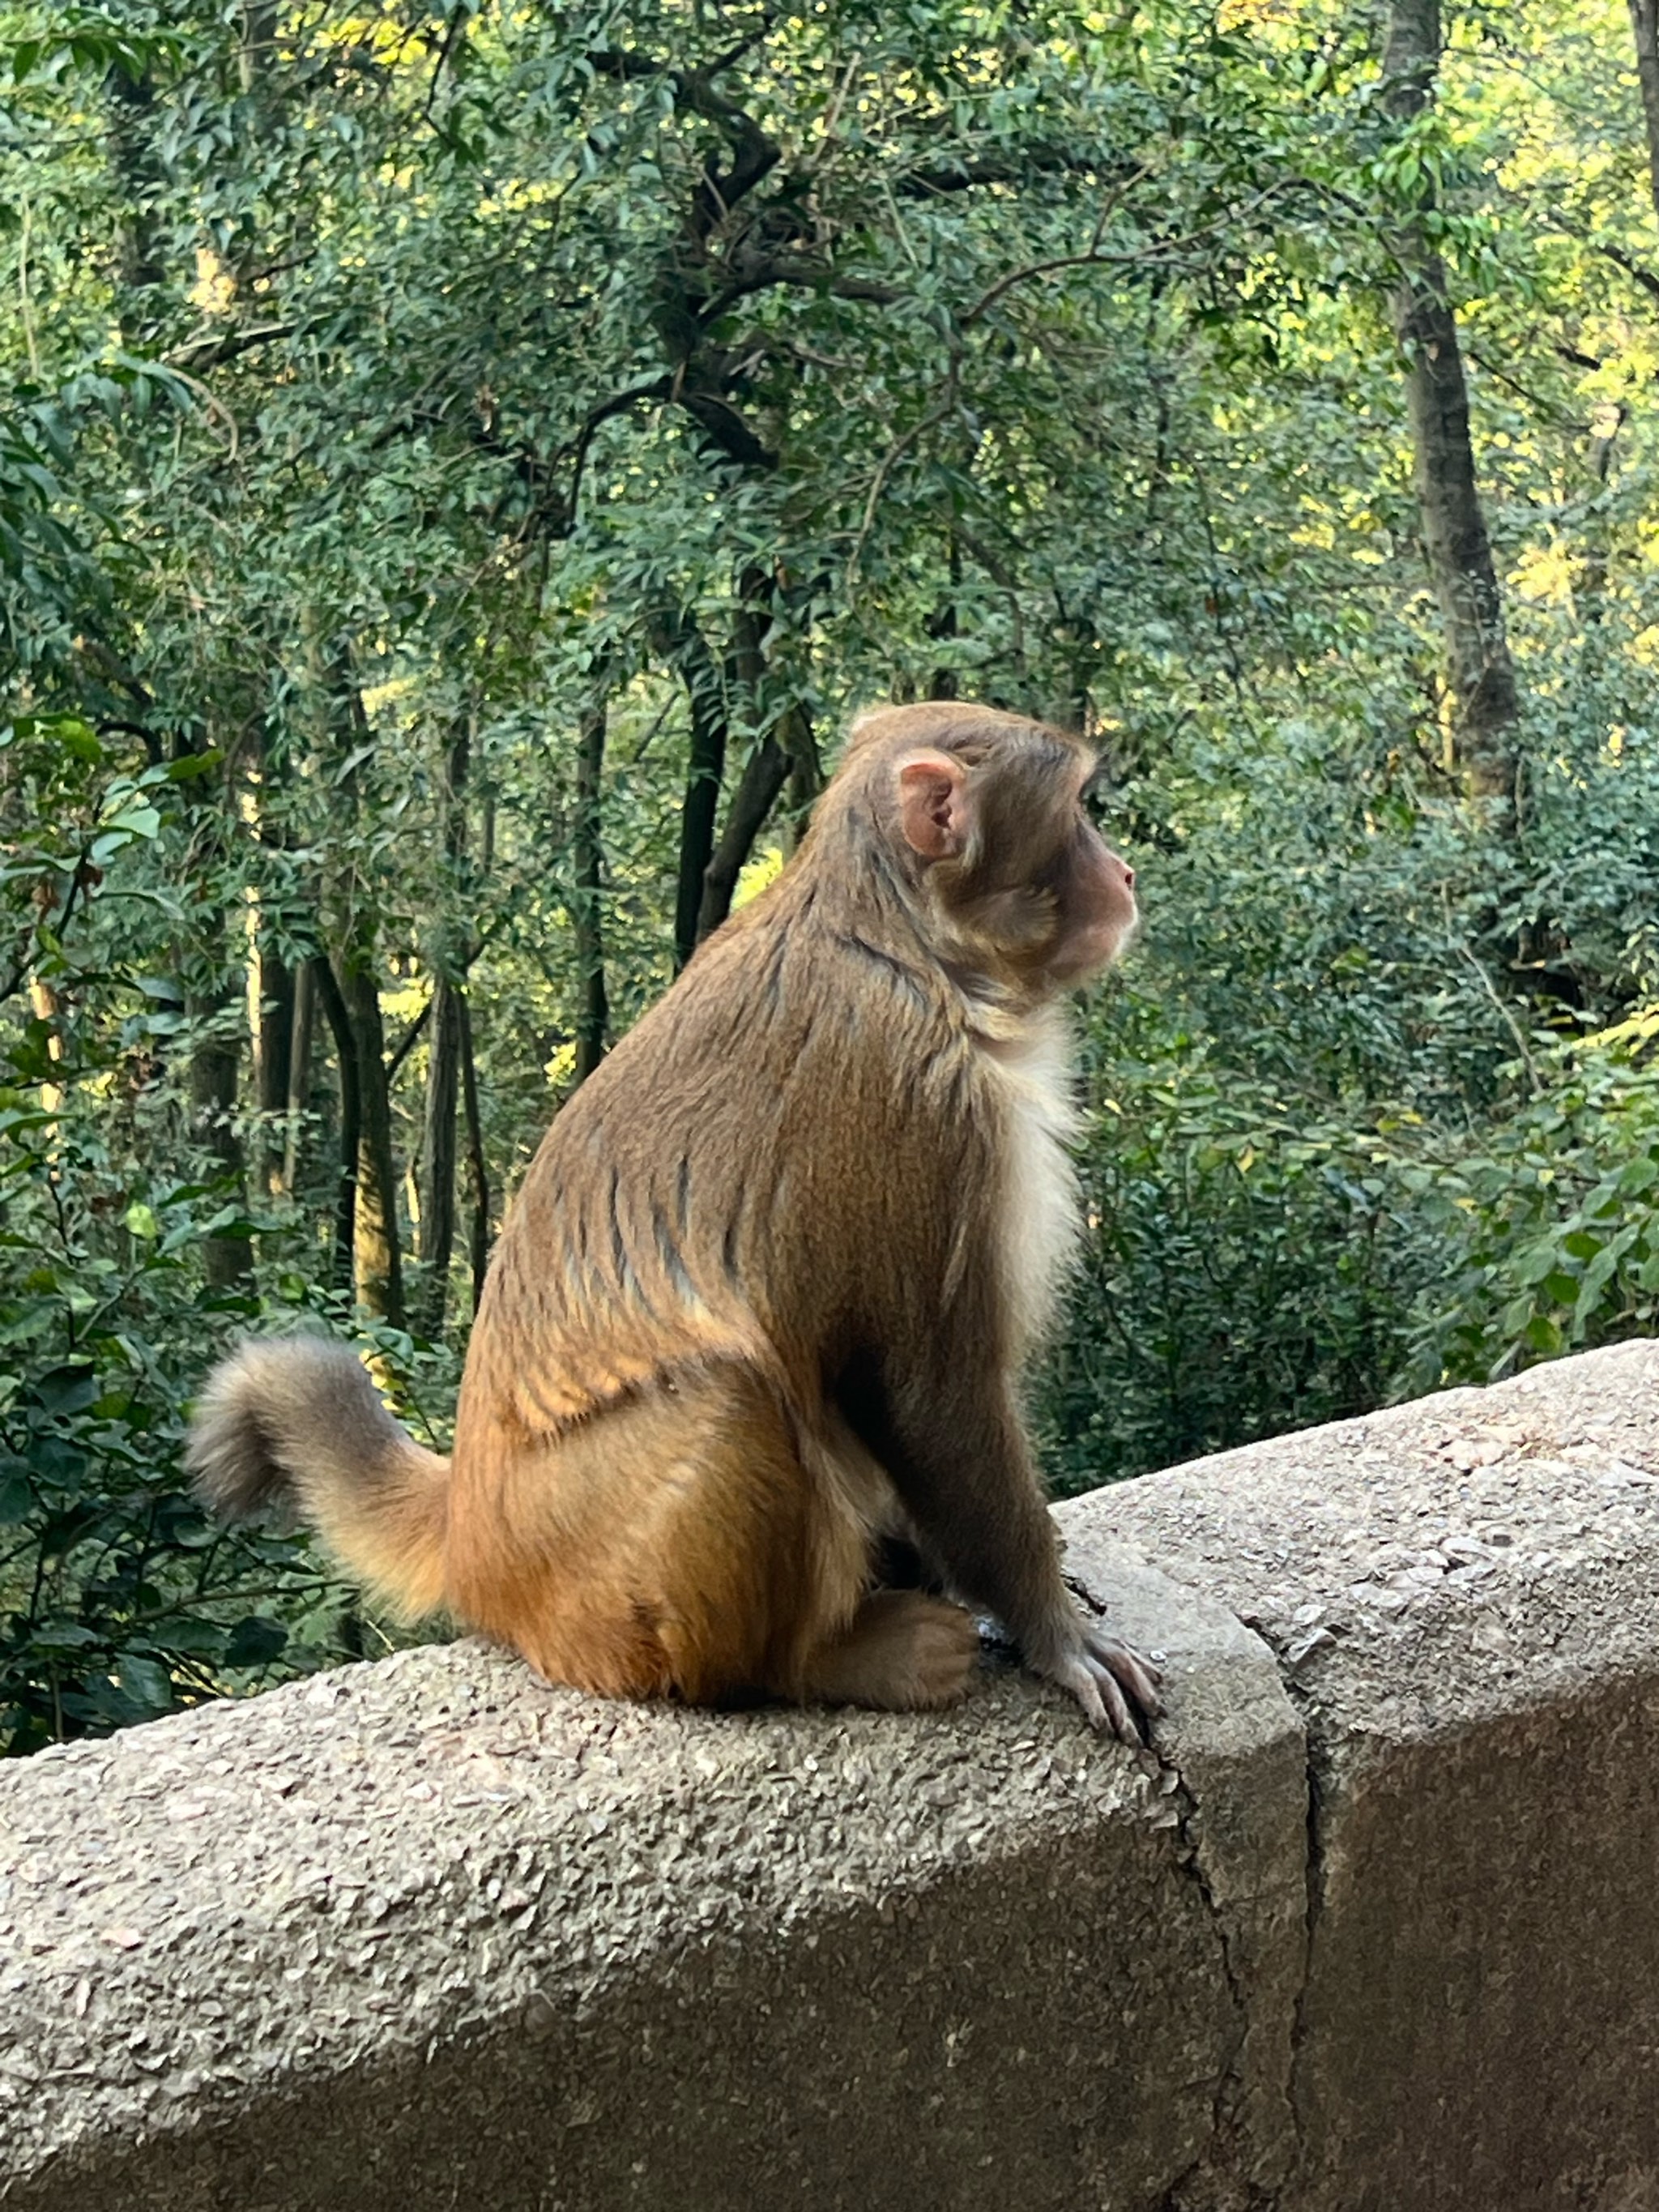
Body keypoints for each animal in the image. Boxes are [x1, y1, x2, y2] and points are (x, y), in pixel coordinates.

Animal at [188, 698, 1158, 1734]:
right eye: (1076, 811)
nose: (1122, 873)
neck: (909, 945)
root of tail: (466, 1530)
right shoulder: (919, 1106)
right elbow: (923, 1389)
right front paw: (1052, 1633)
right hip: (582, 1575)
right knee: (730, 1398)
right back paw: (824, 1660)